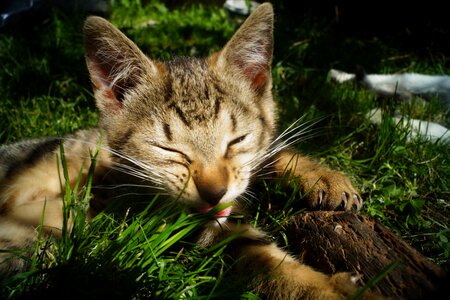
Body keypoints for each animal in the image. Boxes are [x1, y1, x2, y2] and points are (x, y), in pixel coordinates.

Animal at [0, 3, 366, 298]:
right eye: (169, 149)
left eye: (236, 140)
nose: (215, 192)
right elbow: (265, 261)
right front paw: (337, 291)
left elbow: (266, 155)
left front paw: (323, 178)